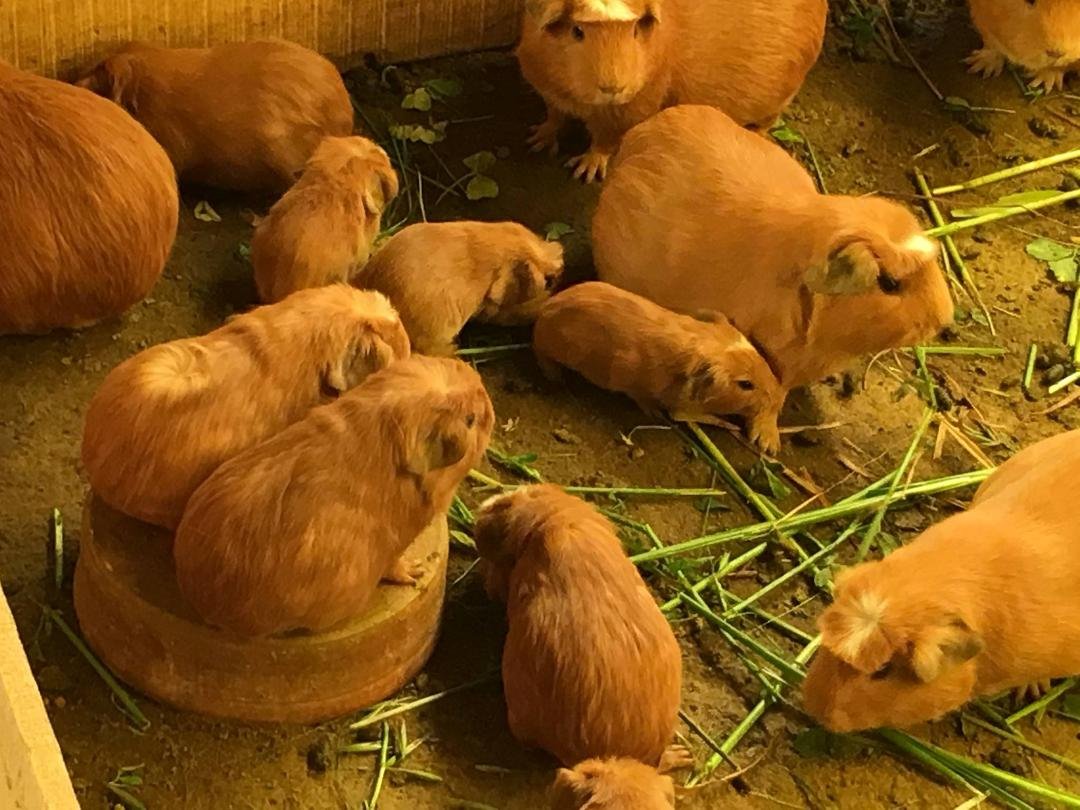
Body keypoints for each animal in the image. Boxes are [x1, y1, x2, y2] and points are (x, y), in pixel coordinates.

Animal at [173, 355, 494, 636]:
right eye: (470, 419)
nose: (489, 406)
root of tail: (201, 598)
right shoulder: (395, 545)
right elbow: (396, 567)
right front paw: (416, 571)